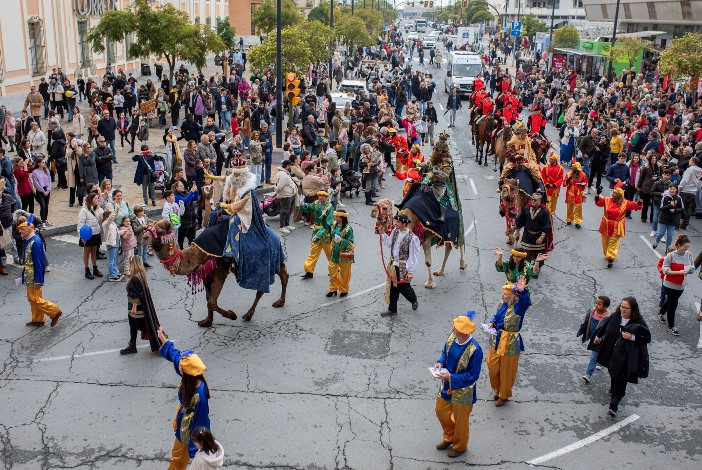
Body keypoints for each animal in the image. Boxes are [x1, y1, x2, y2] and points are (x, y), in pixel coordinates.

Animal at [143, 219, 288, 326]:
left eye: (159, 232)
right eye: (146, 228)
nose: (144, 237)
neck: (198, 255)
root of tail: (274, 234)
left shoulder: (220, 272)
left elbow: (212, 302)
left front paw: (232, 315)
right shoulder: (206, 275)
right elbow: (209, 299)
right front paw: (207, 321)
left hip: (265, 262)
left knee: (266, 284)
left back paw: (250, 314)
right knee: (283, 275)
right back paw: (278, 303)